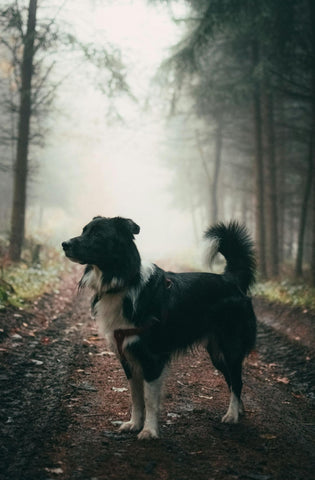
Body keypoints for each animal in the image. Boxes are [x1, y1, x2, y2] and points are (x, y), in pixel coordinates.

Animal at [61, 217, 256, 438]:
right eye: (84, 231)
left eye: (98, 235)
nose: (64, 244)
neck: (124, 281)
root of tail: (230, 279)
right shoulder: (127, 357)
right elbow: (135, 397)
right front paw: (134, 423)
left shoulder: (151, 358)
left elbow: (149, 399)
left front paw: (149, 430)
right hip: (216, 352)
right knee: (231, 379)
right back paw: (239, 410)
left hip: (231, 345)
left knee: (237, 381)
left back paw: (232, 415)